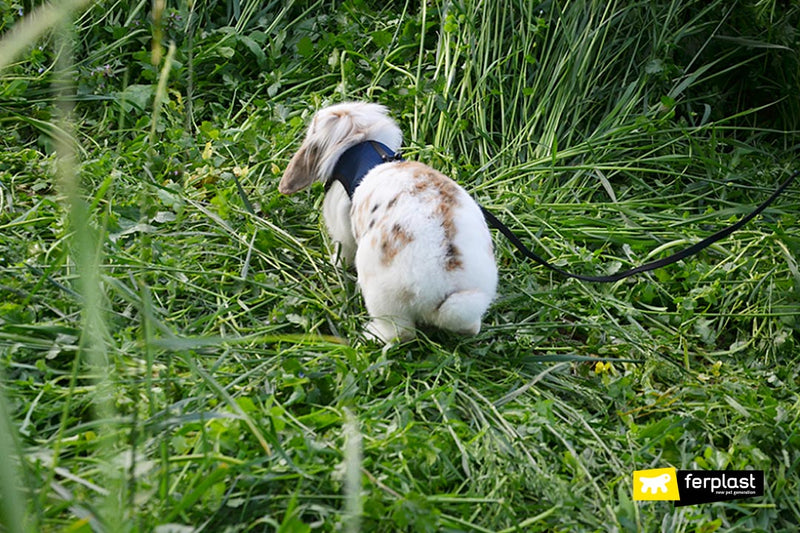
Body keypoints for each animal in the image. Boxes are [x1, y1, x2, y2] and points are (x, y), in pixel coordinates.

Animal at [278, 102, 496, 342]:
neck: (359, 144)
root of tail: (448, 288)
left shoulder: (343, 230)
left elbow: (342, 251)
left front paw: (333, 263)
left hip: (380, 291)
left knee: (401, 332)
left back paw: (368, 334)